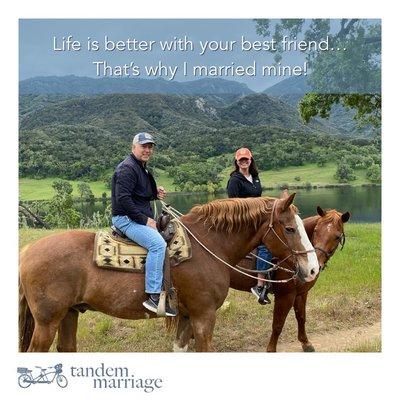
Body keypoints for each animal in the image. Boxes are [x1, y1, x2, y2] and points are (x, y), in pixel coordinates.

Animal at [18, 192, 318, 352]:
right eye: (290, 228)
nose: (313, 268)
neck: (209, 245)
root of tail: (27, 251)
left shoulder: (186, 316)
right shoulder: (203, 316)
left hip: (69, 314)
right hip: (47, 322)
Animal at [172, 208, 350, 352]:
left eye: (336, 236)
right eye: (317, 231)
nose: (315, 267)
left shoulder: (301, 293)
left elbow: (301, 317)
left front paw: (305, 343)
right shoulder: (285, 295)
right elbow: (278, 324)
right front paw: (271, 349)